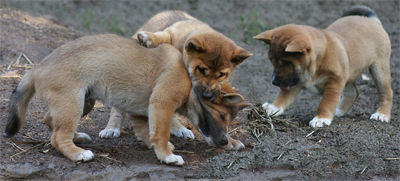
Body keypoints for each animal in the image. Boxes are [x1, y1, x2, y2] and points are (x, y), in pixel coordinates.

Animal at [3, 34, 247, 165]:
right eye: (221, 115)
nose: (224, 141)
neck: (190, 78)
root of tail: (36, 69)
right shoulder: (162, 103)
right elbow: (160, 132)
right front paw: (167, 156)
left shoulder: (142, 111)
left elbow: (147, 132)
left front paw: (155, 147)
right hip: (73, 104)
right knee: (57, 137)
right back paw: (77, 153)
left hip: (83, 102)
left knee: (50, 120)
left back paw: (78, 137)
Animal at [255, 5, 392, 127]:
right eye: (272, 60)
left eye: (287, 62)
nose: (274, 82)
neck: (315, 64)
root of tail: (371, 20)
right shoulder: (294, 82)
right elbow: (282, 97)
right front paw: (273, 107)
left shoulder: (334, 83)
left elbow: (325, 103)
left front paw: (321, 118)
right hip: (348, 73)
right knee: (353, 92)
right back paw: (339, 110)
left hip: (379, 71)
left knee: (386, 92)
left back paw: (382, 114)